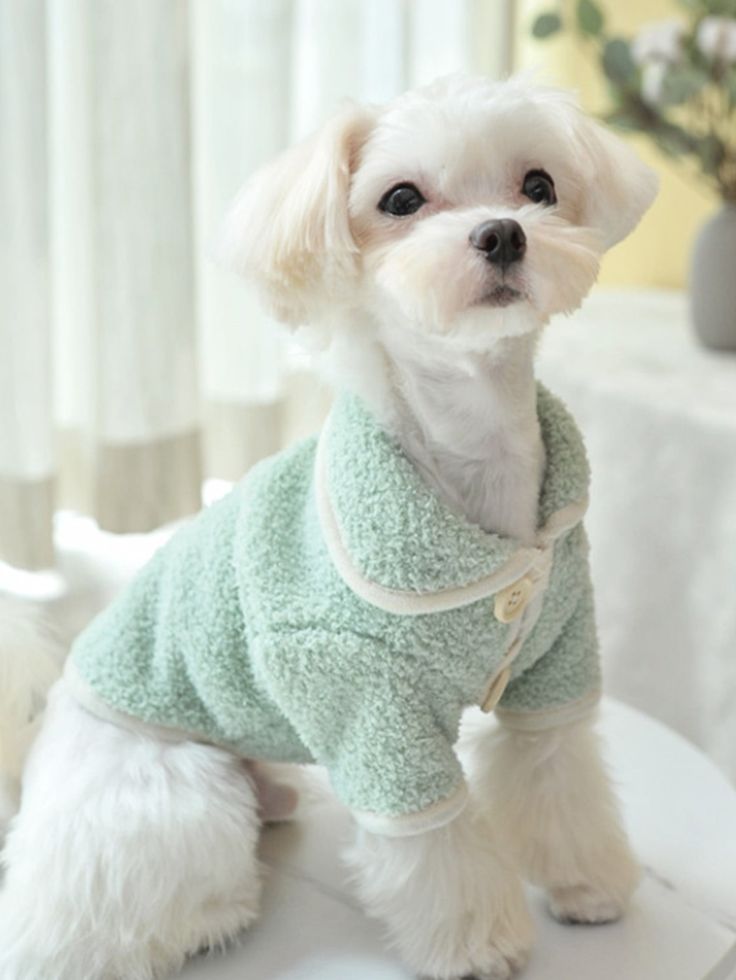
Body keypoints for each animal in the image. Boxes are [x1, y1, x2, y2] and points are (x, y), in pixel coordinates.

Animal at [0, 76, 656, 980]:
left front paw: (588, 886)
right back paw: (199, 915)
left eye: (539, 185)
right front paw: (479, 945)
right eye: (401, 199)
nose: (501, 232)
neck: (473, 460)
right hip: (167, 789)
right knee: (79, 913)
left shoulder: (559, 647)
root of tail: (46, 719)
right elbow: (433, 837)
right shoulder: (368, 704)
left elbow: (558, 768)